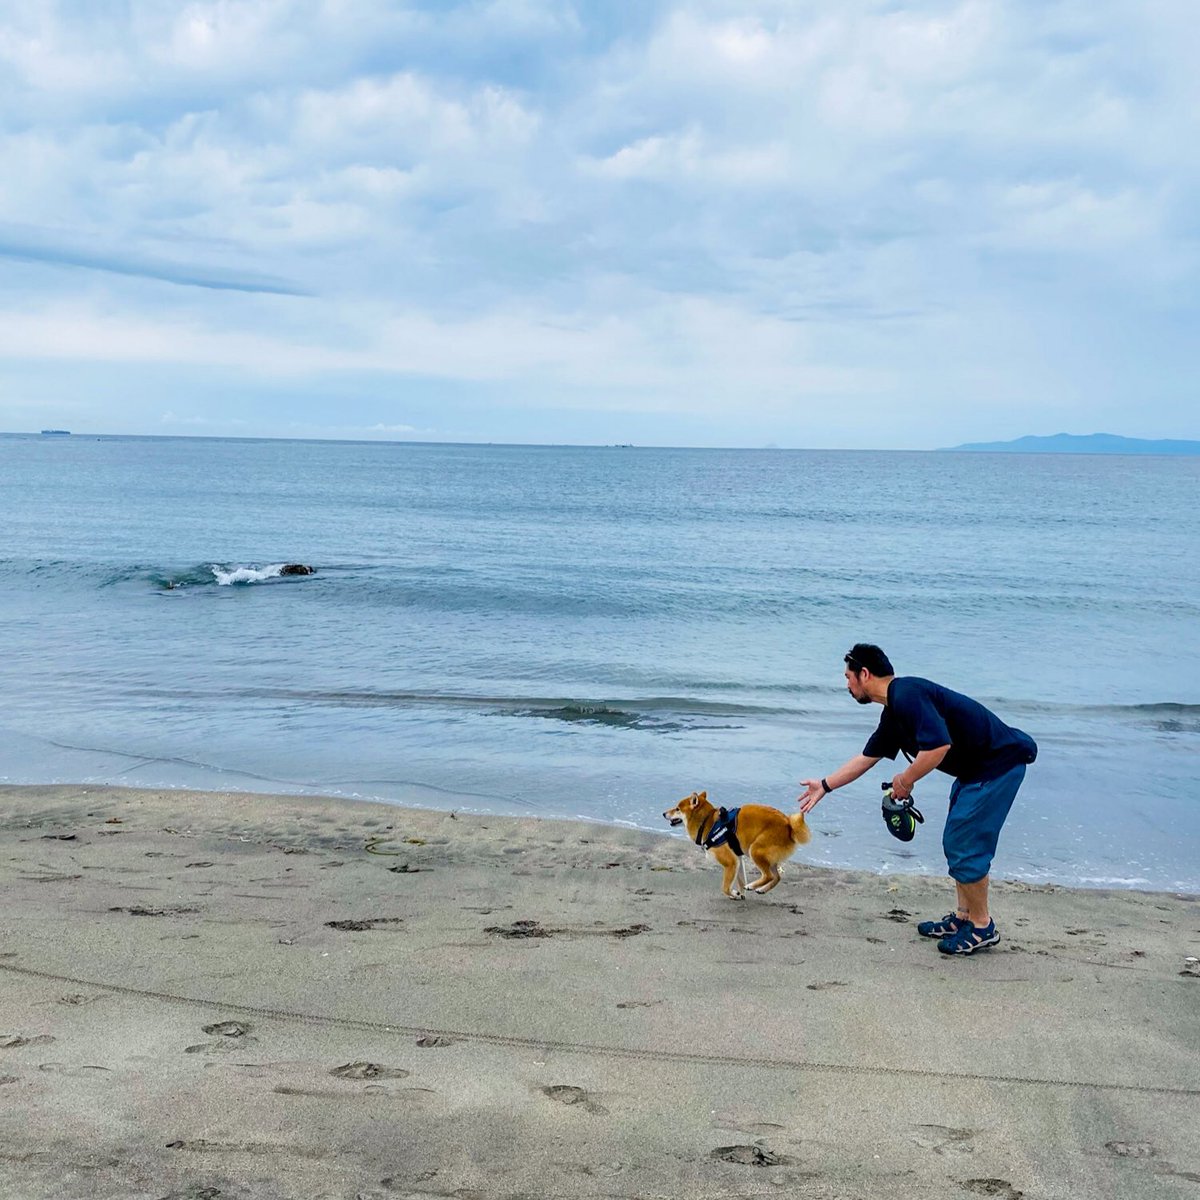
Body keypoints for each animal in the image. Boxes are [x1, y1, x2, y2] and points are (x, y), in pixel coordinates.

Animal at [662, 787, 811, 902]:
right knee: (777, 877)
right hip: (768, 857)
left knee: (768, 876)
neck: (707, 823)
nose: (663, 813)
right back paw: (762, 889)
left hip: (755, 850)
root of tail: (788, 824)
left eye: (677, 809)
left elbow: (725, 887)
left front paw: (734, 893)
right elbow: (740, 880)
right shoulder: (738, 859)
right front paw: (740, 894)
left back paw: (753, 886)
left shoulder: (730, 862)